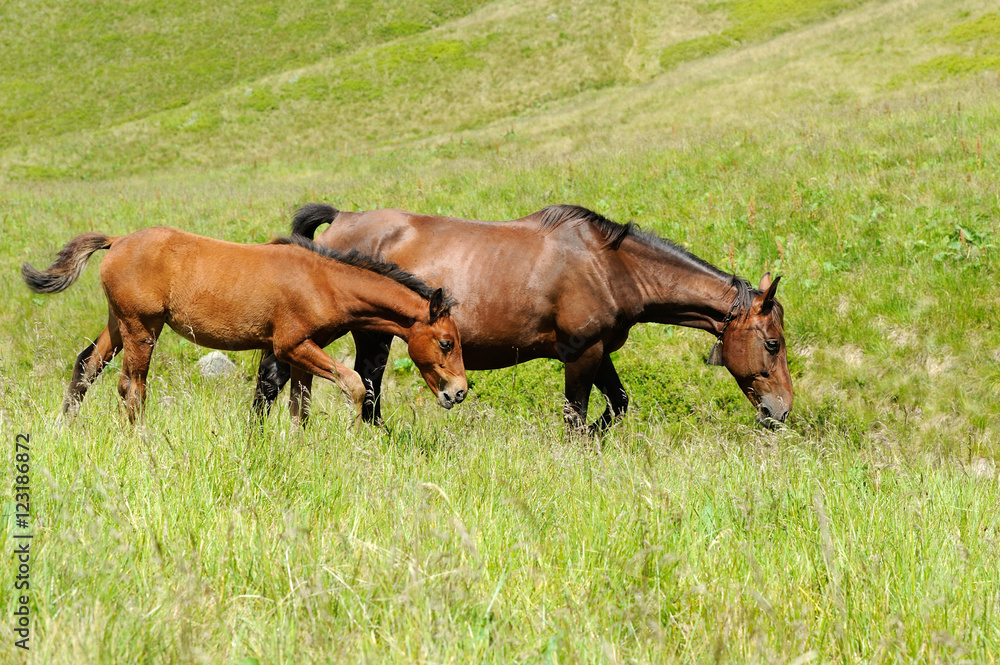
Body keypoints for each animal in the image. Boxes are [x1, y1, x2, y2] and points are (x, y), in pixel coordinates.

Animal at [22, 228, 468, 422]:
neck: (324, 282)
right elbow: (354, 385)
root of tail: (117, 241)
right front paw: (354, 438)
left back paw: (65, 428)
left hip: (120, 324)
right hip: (141, 328)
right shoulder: (291, 346)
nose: (459, 392)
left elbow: (300, 408)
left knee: (86, 365)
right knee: (131, 387)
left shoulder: (301, 354)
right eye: (446, 343)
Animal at [258, 204, 796, 430]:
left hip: (375, 335)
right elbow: (577, 417)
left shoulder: (598, 352)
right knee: (277, 377)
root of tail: (341, 219)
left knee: (362, 393)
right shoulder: (581, 354)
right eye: (773, 343)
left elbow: (618, 405)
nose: (781, 411)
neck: (610, 267)